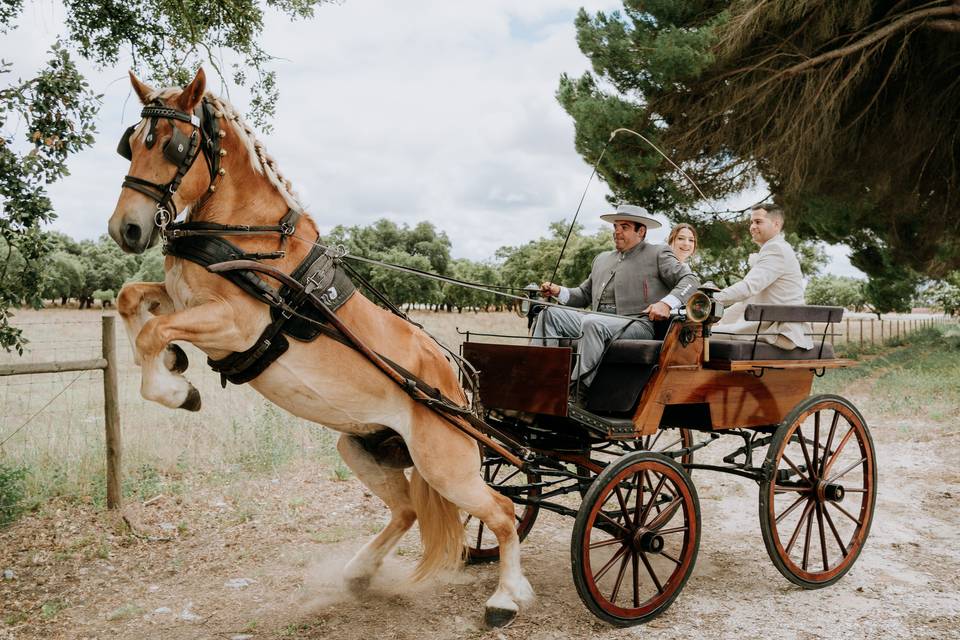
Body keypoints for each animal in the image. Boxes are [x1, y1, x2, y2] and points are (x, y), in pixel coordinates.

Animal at [109, 69, 536, 624]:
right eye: (131, 143)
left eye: (173, 145)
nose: (127, 228)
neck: (251, 237)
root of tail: (458, 388)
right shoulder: (183, 298)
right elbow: (130, 300)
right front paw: (174, 365)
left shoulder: (234, 324)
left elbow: (152, 331)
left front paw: (177, 389)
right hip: (361, 447)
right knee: (407, 510)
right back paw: (358, 574)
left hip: (448, 467)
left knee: (502, 512)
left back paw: (505, 597)